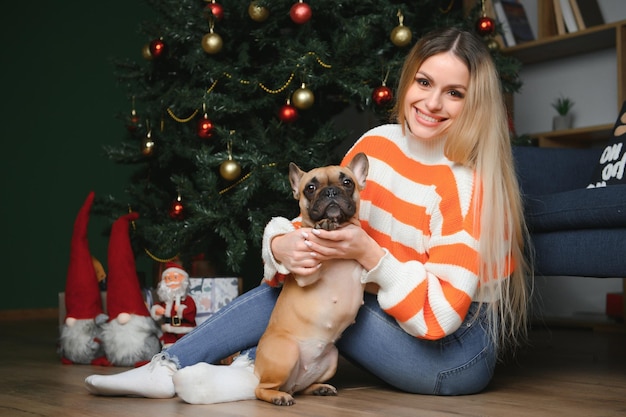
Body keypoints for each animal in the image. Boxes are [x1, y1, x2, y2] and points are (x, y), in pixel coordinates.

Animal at [252, 151, 368, 404]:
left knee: (301, 387)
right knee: (260, 390)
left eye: (347, 183)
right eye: (311, 188)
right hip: (286, 353)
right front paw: (323, 225)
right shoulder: (306, 272)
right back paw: (278, 396)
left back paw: (319, 388)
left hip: (331, 358)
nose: (331, 192)